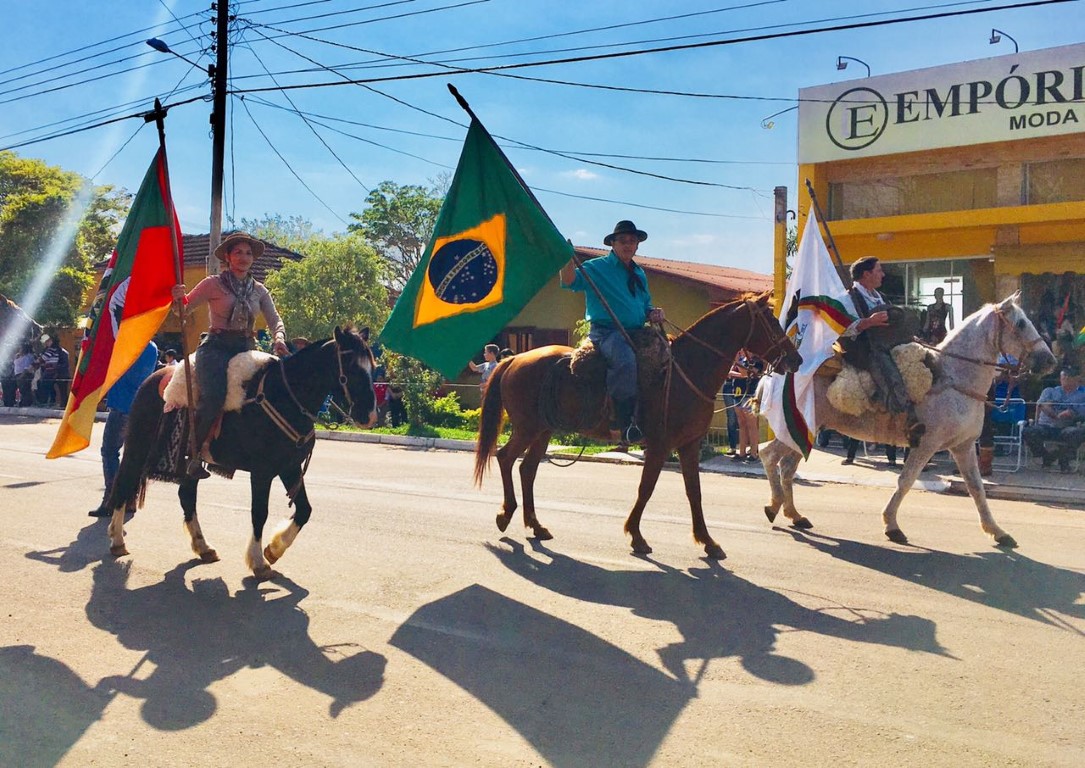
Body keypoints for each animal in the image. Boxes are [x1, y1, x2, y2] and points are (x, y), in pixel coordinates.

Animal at [106, 327, 377, 577]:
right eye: (351, 366)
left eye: (372, 366)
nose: (370, 415)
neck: (285, 397)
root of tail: (154, 377)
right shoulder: (262, 472)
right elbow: (259, 513)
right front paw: (258, 561)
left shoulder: (289, 467)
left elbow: (305, 510)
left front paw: (274, 549)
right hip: (138, 446)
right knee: (124, 482)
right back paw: (117, 540)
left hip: (189, 460)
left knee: (186, 495)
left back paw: (203, 547)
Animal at [473, 292, 798, 559]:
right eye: (771, 321)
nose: (795, 359)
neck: (686, 371)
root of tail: (514, 359)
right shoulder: (659, 446)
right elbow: (646, 489)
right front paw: (637, 536)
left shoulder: (689, 445)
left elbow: (694, 491)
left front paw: (707, 541)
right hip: (528, 427)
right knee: (505, 457)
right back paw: (506, 514)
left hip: (543, 430)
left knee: (527, 469)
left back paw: (535, 525)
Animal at [759, 290, 1054, 548]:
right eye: (1021, 323)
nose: (1049, 361)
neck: (953, 378)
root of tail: (774, 373)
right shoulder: (926, 444)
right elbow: (907, 480)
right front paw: (892, 526)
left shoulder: (964, 446)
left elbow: (977, 488)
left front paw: (998, 532)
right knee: (768, 455)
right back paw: (774, 506)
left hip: (804, 431)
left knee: (787, 467)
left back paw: (795, 515)